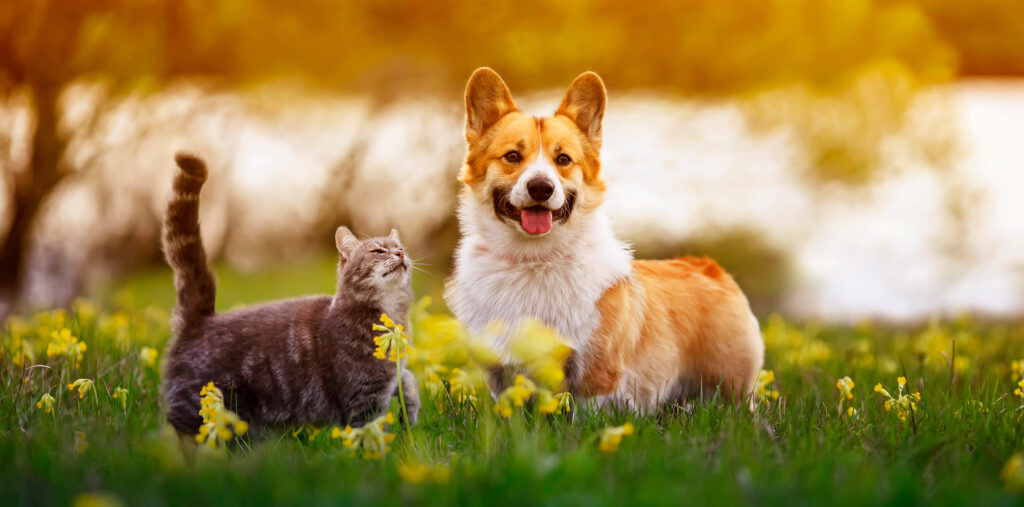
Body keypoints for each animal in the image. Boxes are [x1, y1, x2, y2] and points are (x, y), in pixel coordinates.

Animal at [159, 151, 415, 436]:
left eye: (401, 247)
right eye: (378, 251)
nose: (400, 254)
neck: (389, 312)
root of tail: (200, 321)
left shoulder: (391, 379)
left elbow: (408, 382)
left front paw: (410, 414)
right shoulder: (363, 397)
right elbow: (372, 432)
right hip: (198, 409)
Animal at [444, 68, 765, 413]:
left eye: (563, 159)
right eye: (513, 156)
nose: (541, 187)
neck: (533, 260)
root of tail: (710, 268)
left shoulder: (596, 375)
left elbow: (587, 416)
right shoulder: (501, 375)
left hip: (730, 388)